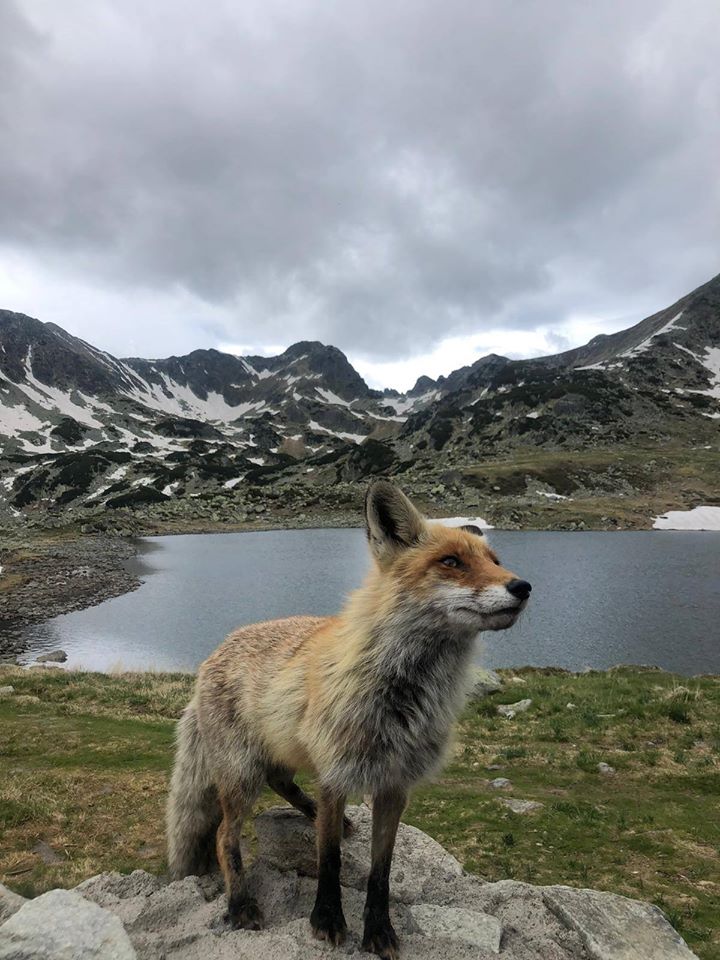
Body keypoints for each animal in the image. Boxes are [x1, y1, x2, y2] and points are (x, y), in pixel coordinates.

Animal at [166, 484, 532, 956]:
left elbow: (381, 871)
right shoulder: (336, 772)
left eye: (495, 560)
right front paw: (326, 919)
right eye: (451, 562)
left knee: (282, 782)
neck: (402, 702)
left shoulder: (395, 784)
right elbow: (329, 860)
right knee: (224, 835)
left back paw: (322, 818)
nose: (522, 586)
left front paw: (378, 930)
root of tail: (211, 655)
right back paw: (241, 903)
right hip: (240, 775)